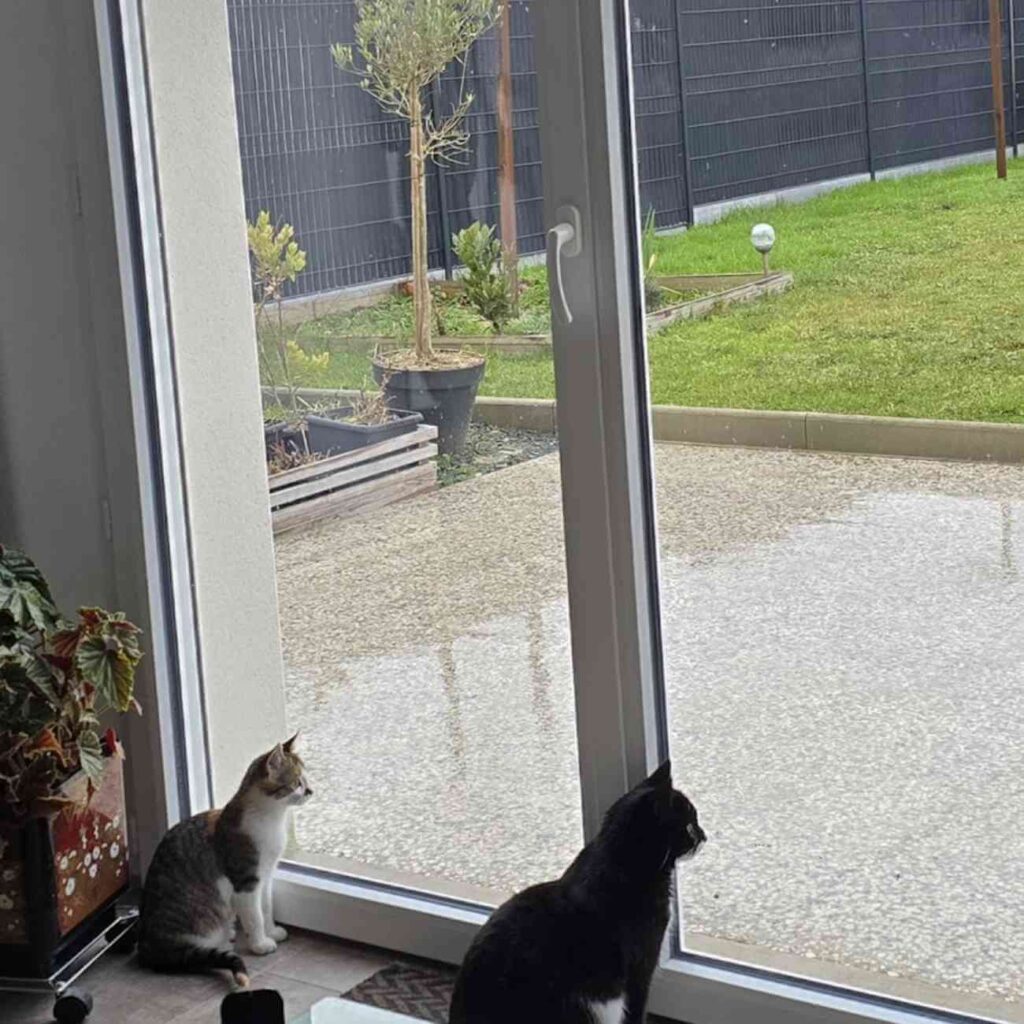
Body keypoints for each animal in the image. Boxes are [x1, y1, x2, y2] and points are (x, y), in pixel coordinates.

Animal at [137, 733, 311, 987]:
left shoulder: (266, 876)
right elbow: (255, 915)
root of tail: (147, 947)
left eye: (306, 779)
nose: (310, 791)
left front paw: (272, 931)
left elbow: (266, 907)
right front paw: (260, 943)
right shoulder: (245, 880)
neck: (270, 818)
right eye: (297, 782)